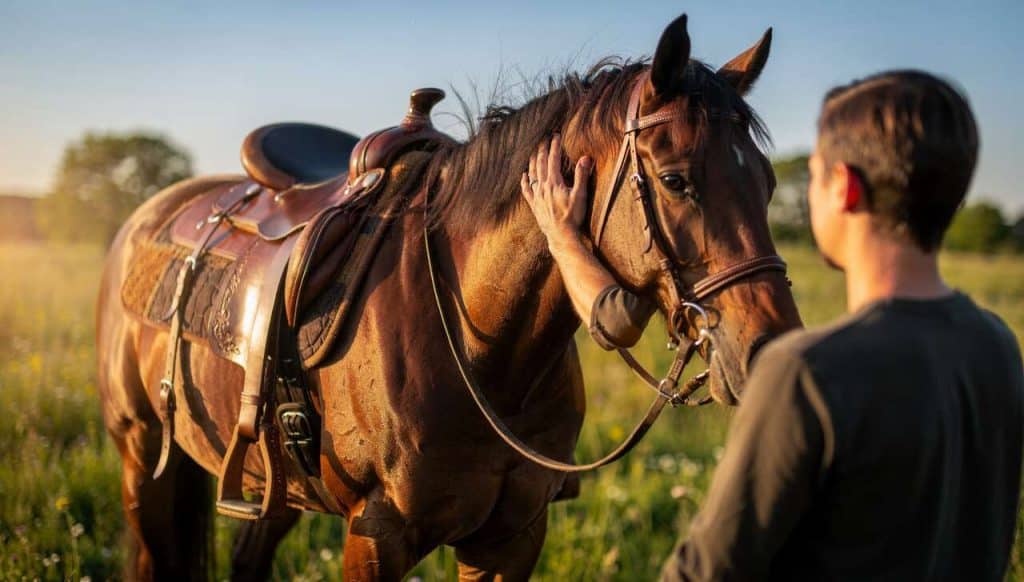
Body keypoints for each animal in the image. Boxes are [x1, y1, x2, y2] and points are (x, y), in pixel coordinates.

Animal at [96, 13, 802, 581]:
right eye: (676, 180)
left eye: (769, 184)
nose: (768, 350)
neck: (484, 350)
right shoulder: (376, 537)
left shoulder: (512, 539)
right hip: (141, 457)